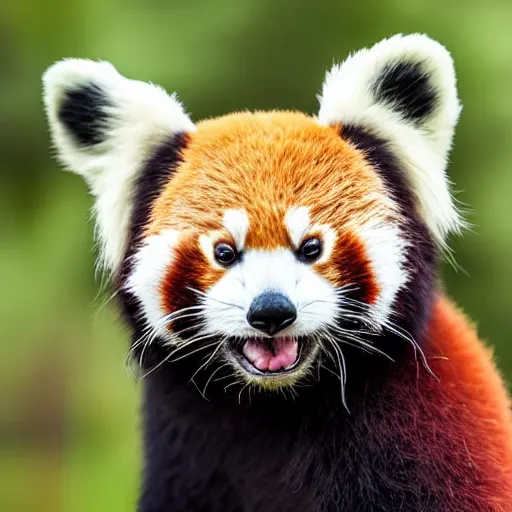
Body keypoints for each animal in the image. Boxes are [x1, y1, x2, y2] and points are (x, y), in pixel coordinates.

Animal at [42, 34, 510, 510]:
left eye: (312, 247)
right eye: (224, 252)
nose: (271, 312)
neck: (276, 405)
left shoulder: (424, 438)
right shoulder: (185, 449)